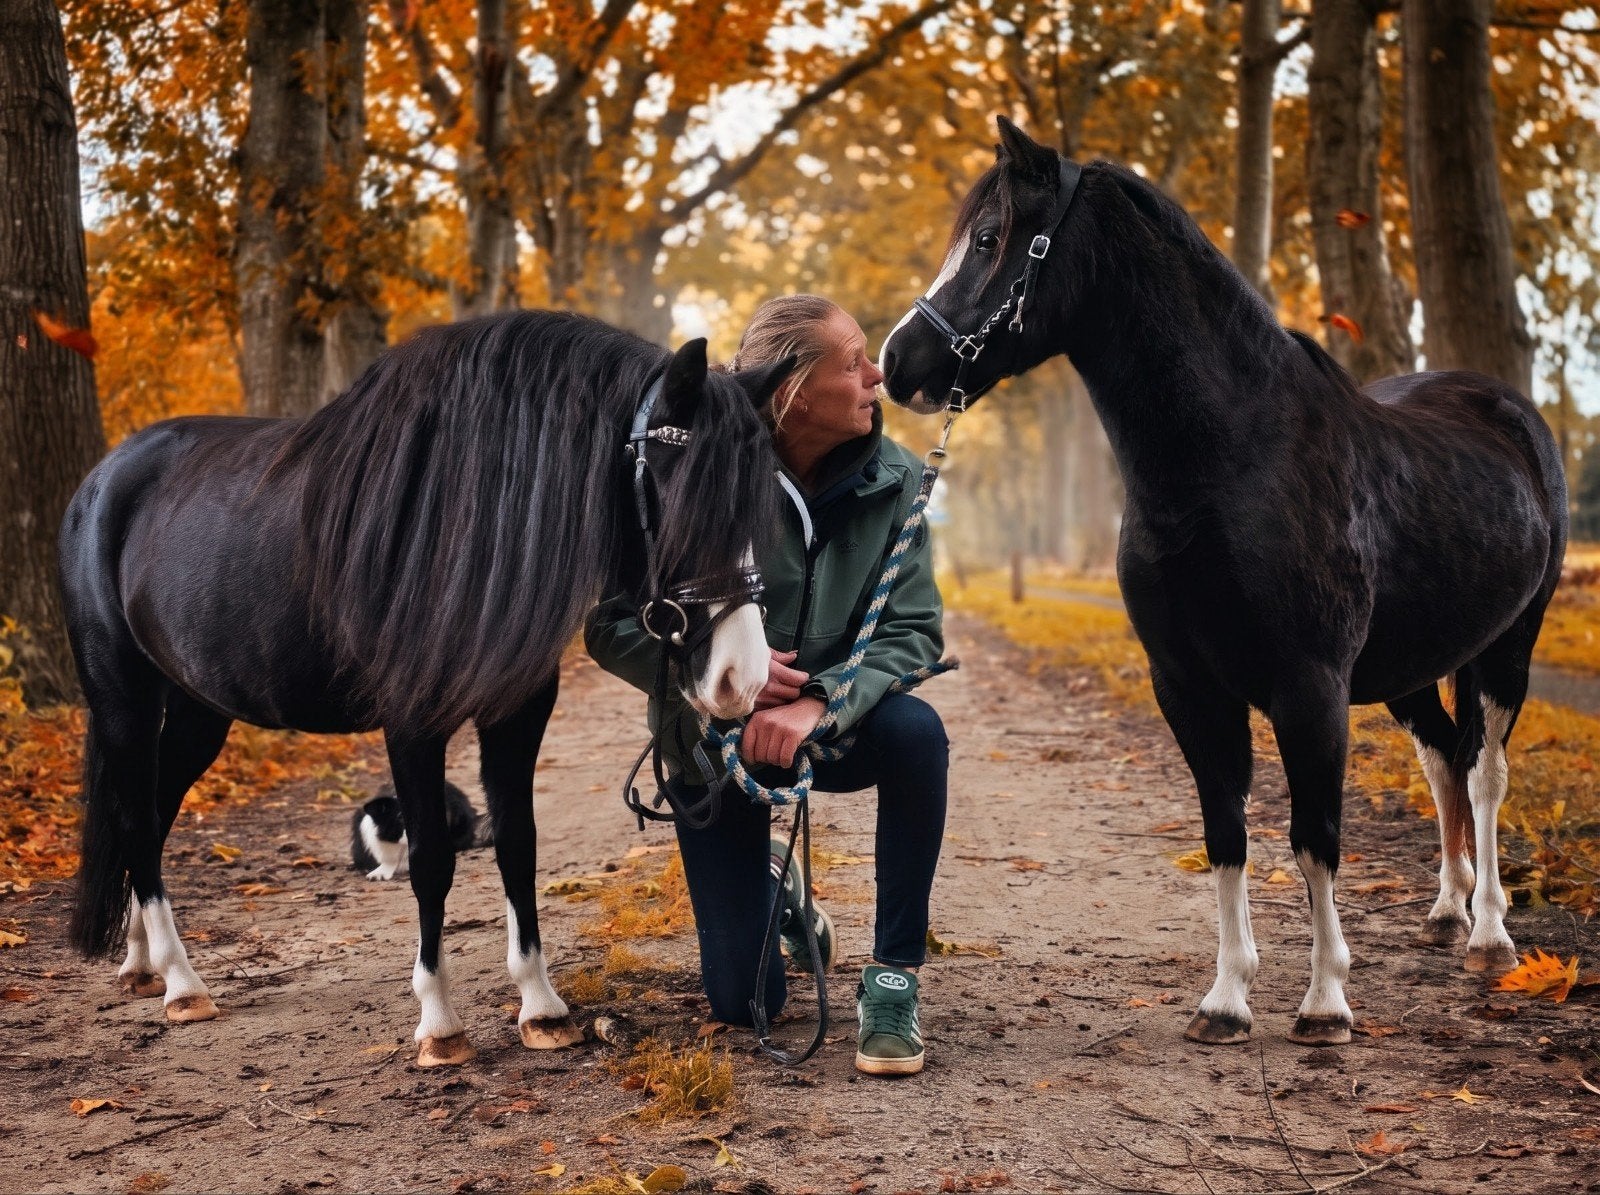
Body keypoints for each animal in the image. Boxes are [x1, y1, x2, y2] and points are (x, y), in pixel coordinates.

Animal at [63, 310, 796, 1066]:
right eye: (680, 494)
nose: (742, 678)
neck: (459, 521)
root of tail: (104, 479)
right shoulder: (413, 721)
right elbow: (432, 861)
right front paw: (439, 1022)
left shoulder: (517, 712)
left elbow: (518, 844)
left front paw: (541, 1006)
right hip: (122, 696)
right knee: (137, 815)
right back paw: (181, 982)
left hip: (199, 707)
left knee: (150, 812)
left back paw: (141, 962)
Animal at [880, 117, 1567, 1047]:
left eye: (990, 239)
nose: (896, 362)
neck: (1234, 458)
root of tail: (1508, 410)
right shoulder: (1188, 684)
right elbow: (1225, 832)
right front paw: (1227, 997)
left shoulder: (1309, 687)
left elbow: (1315, 837)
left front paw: (1325, 1001)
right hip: (1412, 669)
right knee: (1442, 760)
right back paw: (1446, 909)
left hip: (1508, 648)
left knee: (1487, 771)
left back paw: (1491, 932)